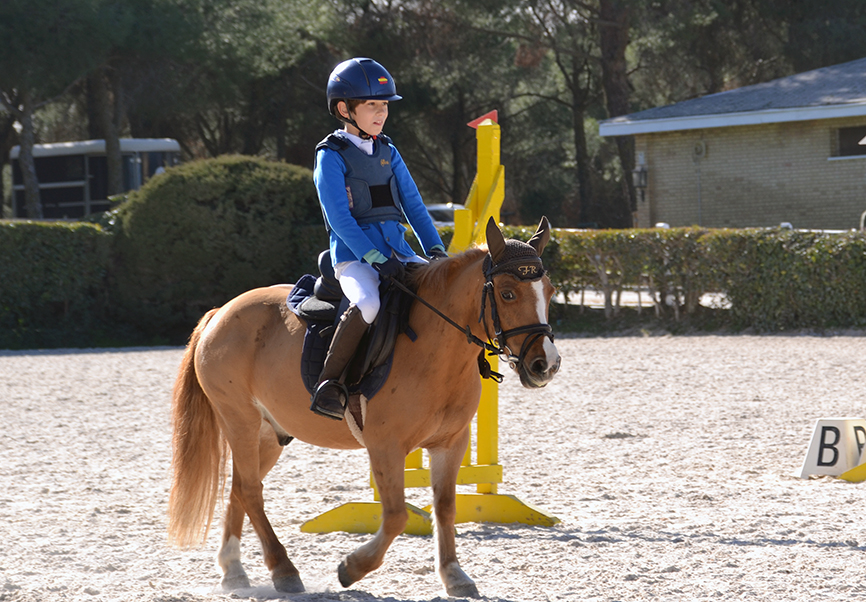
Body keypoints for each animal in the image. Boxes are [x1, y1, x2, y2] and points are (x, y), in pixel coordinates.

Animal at [168, 216, 560, 596]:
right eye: (507, 293)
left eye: (550, 292)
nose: (546, 365)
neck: (436, 349)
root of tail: (221, 311)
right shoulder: (385, 446)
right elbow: (397, 515)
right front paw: (351, 568)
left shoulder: (451, 443)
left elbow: (445, 508)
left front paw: (454, 575)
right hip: (240, 421)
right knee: (250, 490)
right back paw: (284, 570)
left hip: (268, 434)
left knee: (240, 487)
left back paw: (234, 572)